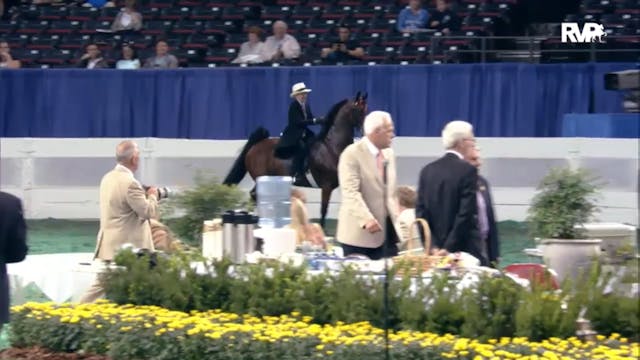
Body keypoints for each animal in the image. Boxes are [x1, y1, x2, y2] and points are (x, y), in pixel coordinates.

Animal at [222, 93, 368, 228]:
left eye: (365, 110)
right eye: (358, 111)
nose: (365, 132)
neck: (331, 147)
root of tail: (256, 145)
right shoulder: (326, 186)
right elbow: (323, 210)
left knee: (255, 196)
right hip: (260, 176)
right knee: (256, 195)